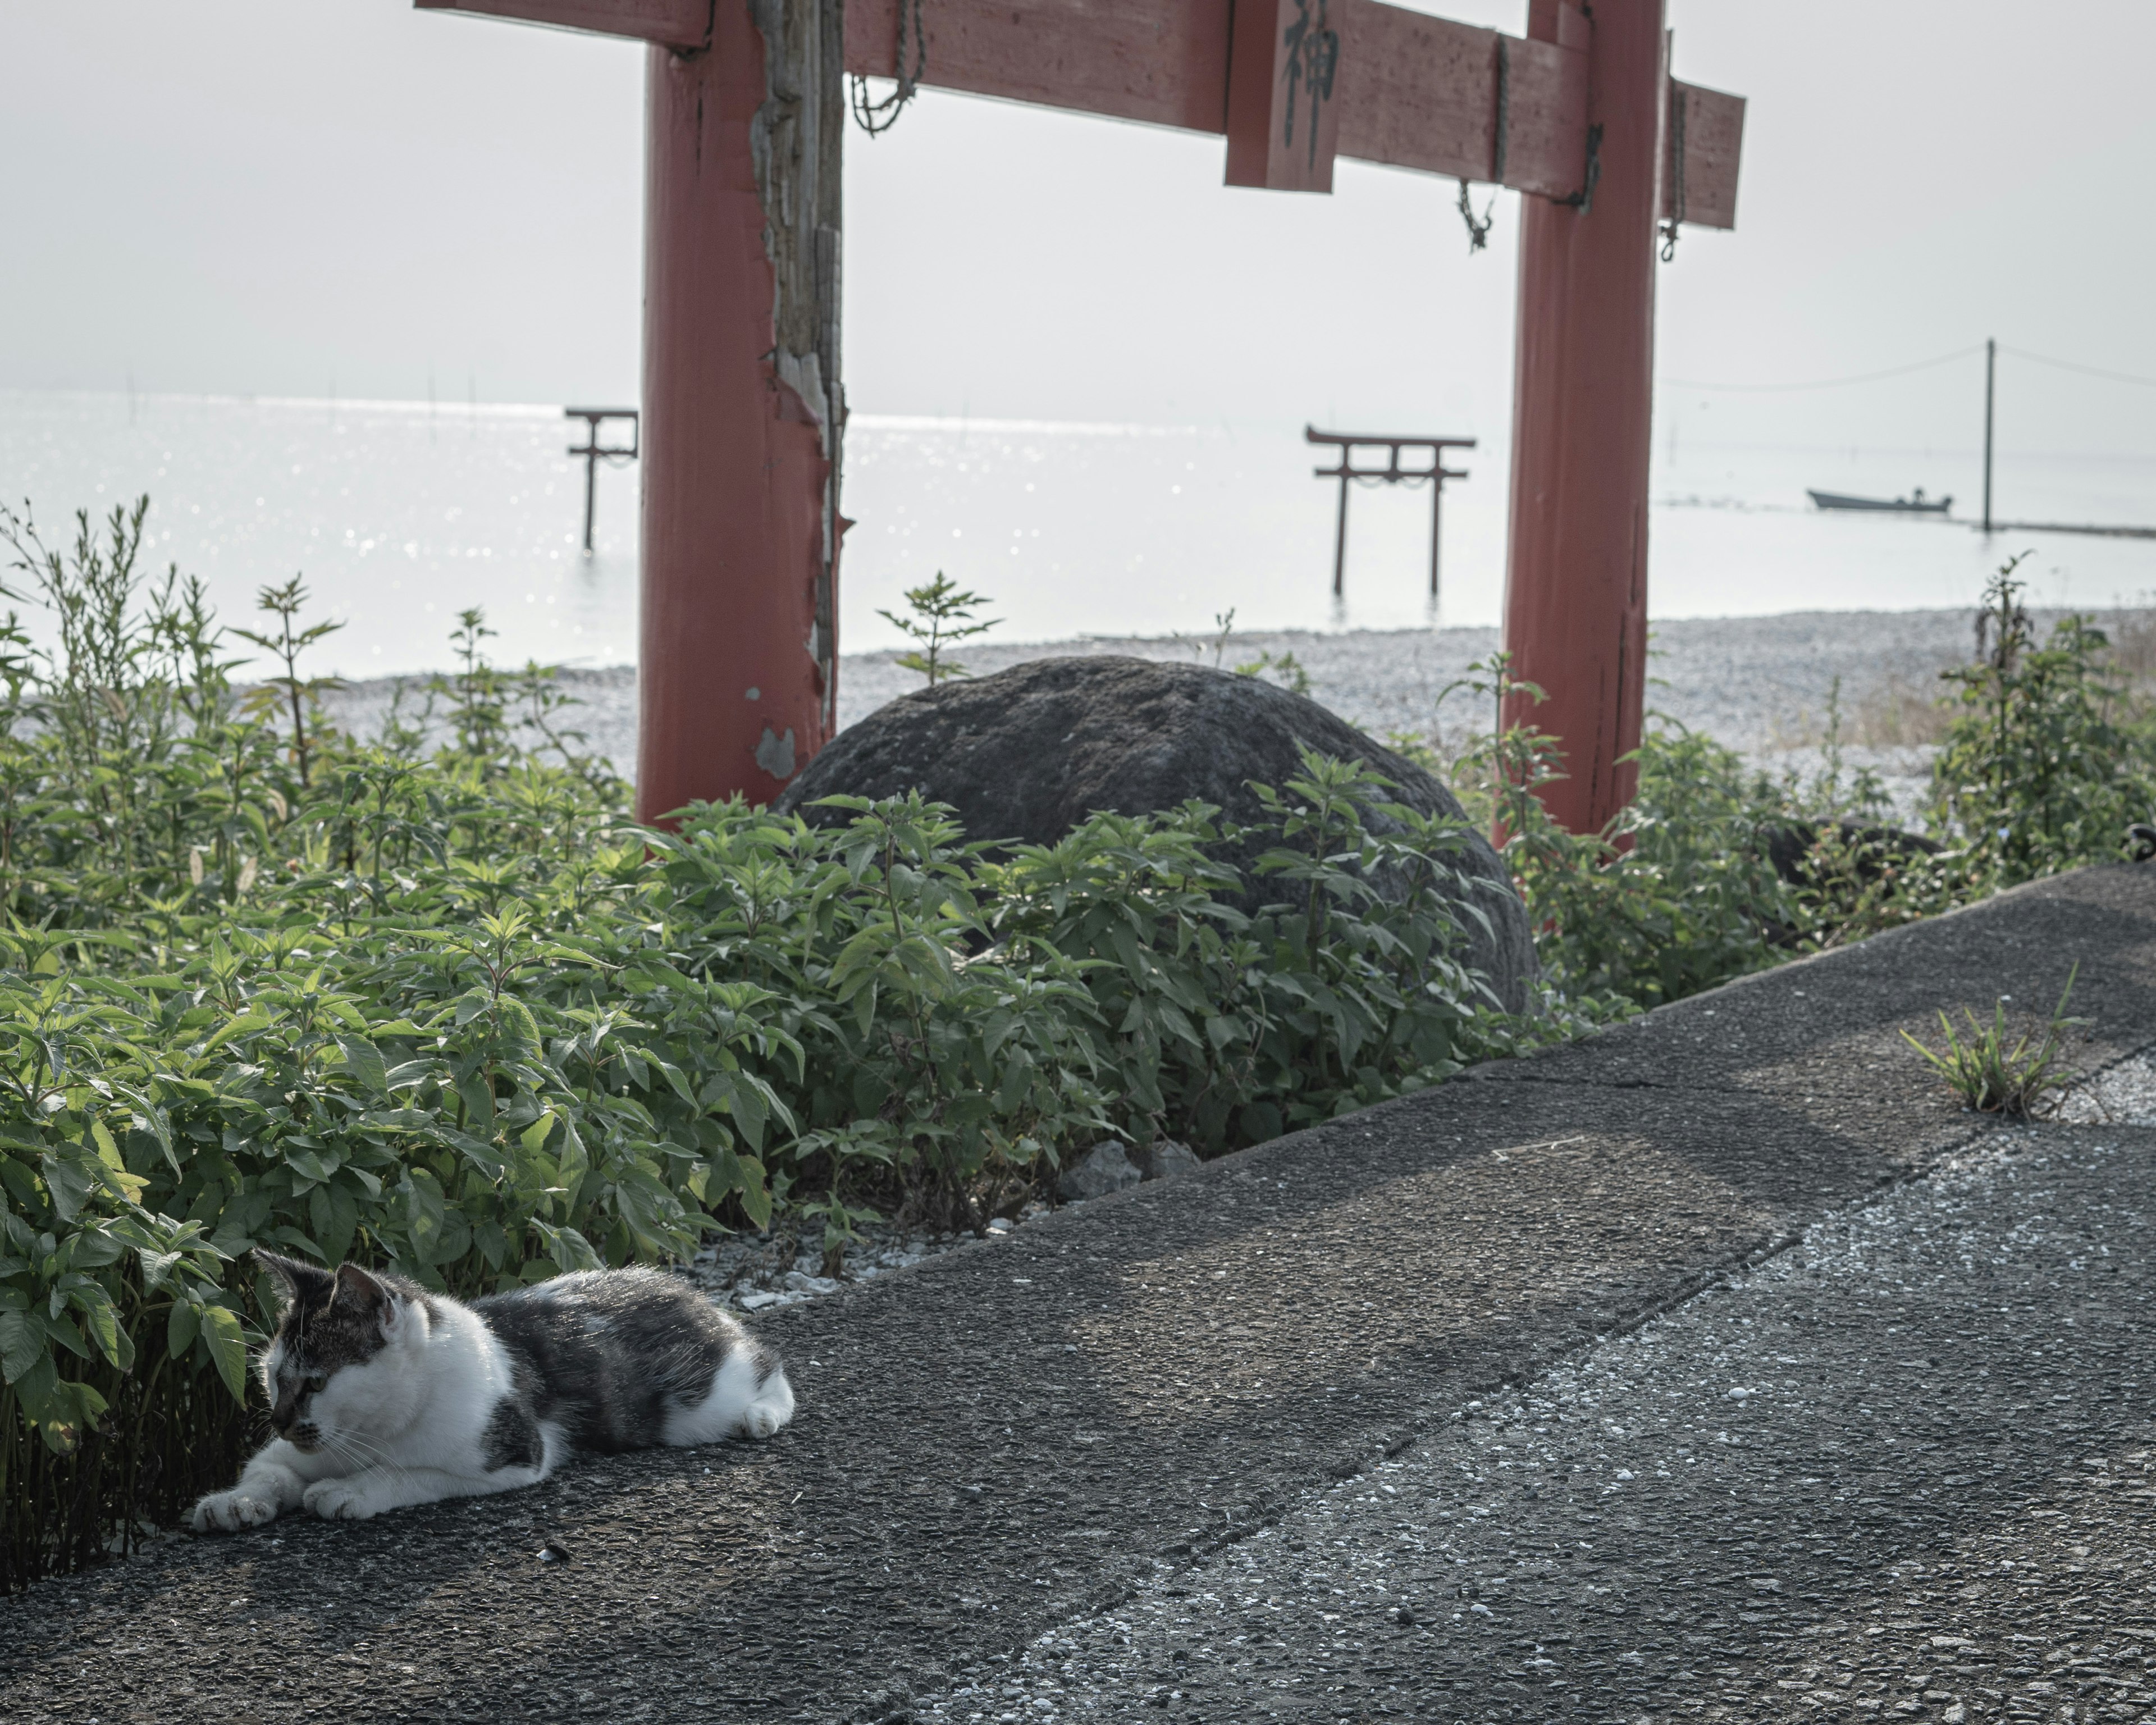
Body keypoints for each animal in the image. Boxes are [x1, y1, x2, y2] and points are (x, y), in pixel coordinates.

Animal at [189, 1251, 797, 1526]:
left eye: (316, 1382)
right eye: (274, 1377)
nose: (279, 1420)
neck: (377, 1430)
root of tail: (675, 1282)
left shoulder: (516, 1453)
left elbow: (411, 1473)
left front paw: (350, 1491)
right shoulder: (293, 1451)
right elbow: (270, 1470)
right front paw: (234, 1501)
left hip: (702, 1402)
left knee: (768, 1364)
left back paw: (762, 1415)